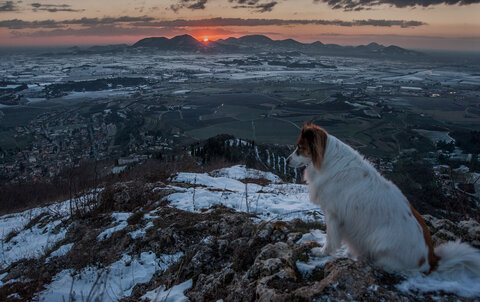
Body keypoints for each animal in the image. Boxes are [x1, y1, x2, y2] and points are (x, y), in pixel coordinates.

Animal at [288, 122, 480, 276]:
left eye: (300, 147)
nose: (288, 160)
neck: (327, 161)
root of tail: (430, 261)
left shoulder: (333, 214)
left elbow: (331, 238)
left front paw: (322, 252)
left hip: (381, 245)